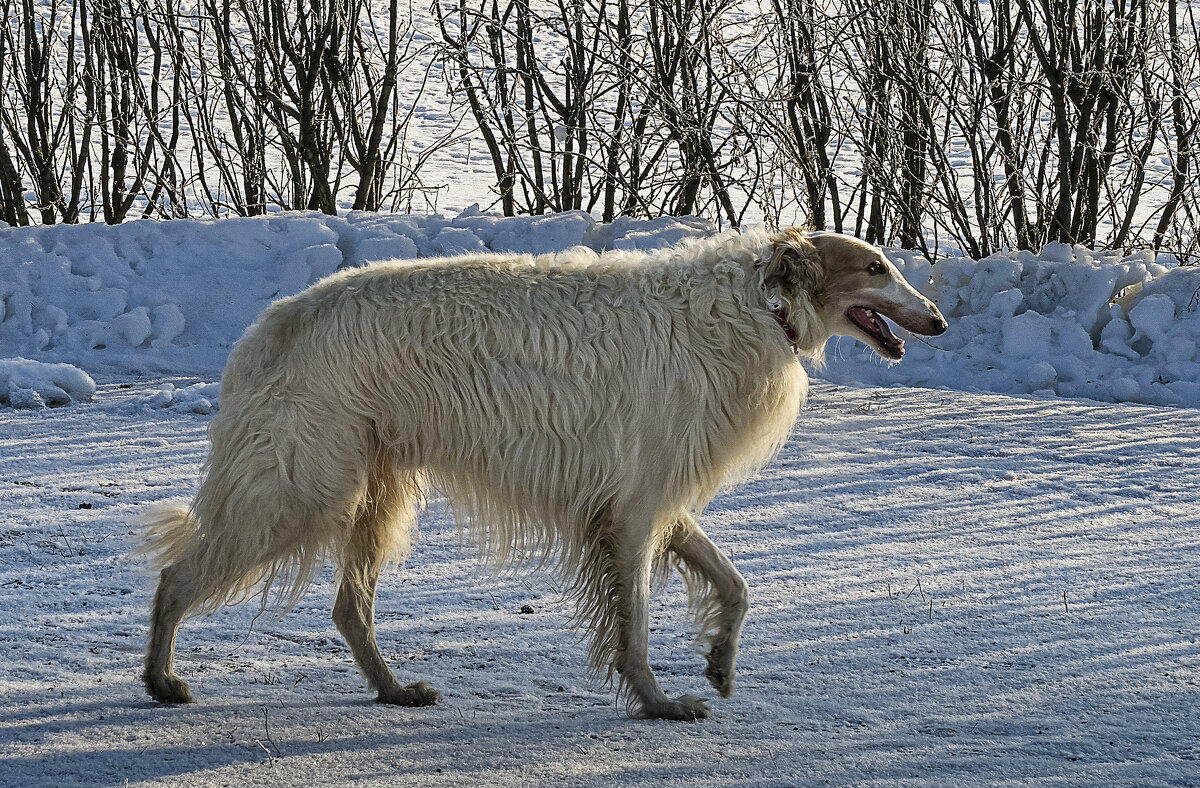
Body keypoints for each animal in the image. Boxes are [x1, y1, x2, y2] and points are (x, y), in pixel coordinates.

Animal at [138, 227, 945, 719]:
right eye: (875, 267)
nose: (937, 319)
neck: (755, 302)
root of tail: (268, 327)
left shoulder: (653, 499)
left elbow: (736, 585)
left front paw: (718, 662)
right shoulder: (633, 510)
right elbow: (635, 627)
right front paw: (660, 703)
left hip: (375, 491)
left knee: (347, 610)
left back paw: (395, 689)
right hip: (301, 485)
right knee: (178, 576)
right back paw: (160, 678)